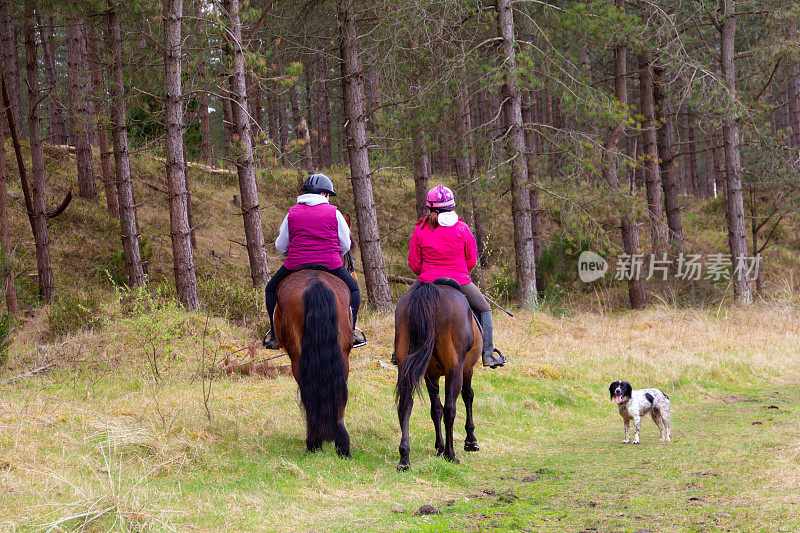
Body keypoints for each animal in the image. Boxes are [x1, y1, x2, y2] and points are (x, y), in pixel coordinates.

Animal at [274, 268, 352, 456]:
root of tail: (317, 284)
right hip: (342, 353)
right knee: (340, 392)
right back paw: (341, 445)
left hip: (297, 357)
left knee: (307, 391)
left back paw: (314, 442)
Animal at [394, 278, 482, 470]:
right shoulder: (466, 369)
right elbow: (468, 396)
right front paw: (470, 441)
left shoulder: (430, 374)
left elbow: (435, 409)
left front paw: (439, 447)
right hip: (454, 370)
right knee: (451, 408)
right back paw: (451, 454)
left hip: (406, 366)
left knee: (405, 404)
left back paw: (404, 457)